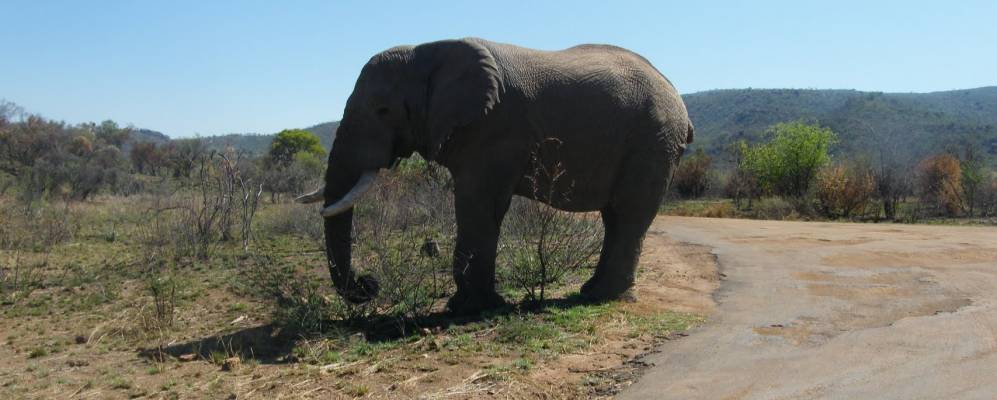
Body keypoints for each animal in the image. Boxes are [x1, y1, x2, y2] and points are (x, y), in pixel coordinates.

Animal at [296, 37, 692, 316]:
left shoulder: (494, 131)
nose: (368, 284)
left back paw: (608, 297)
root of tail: (677, 99)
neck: (426, 52)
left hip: (653, 141)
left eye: (383, 110)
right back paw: (591, 292)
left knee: (627, 215)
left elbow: (478, 205)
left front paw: (468, 308)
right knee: (615, 218)